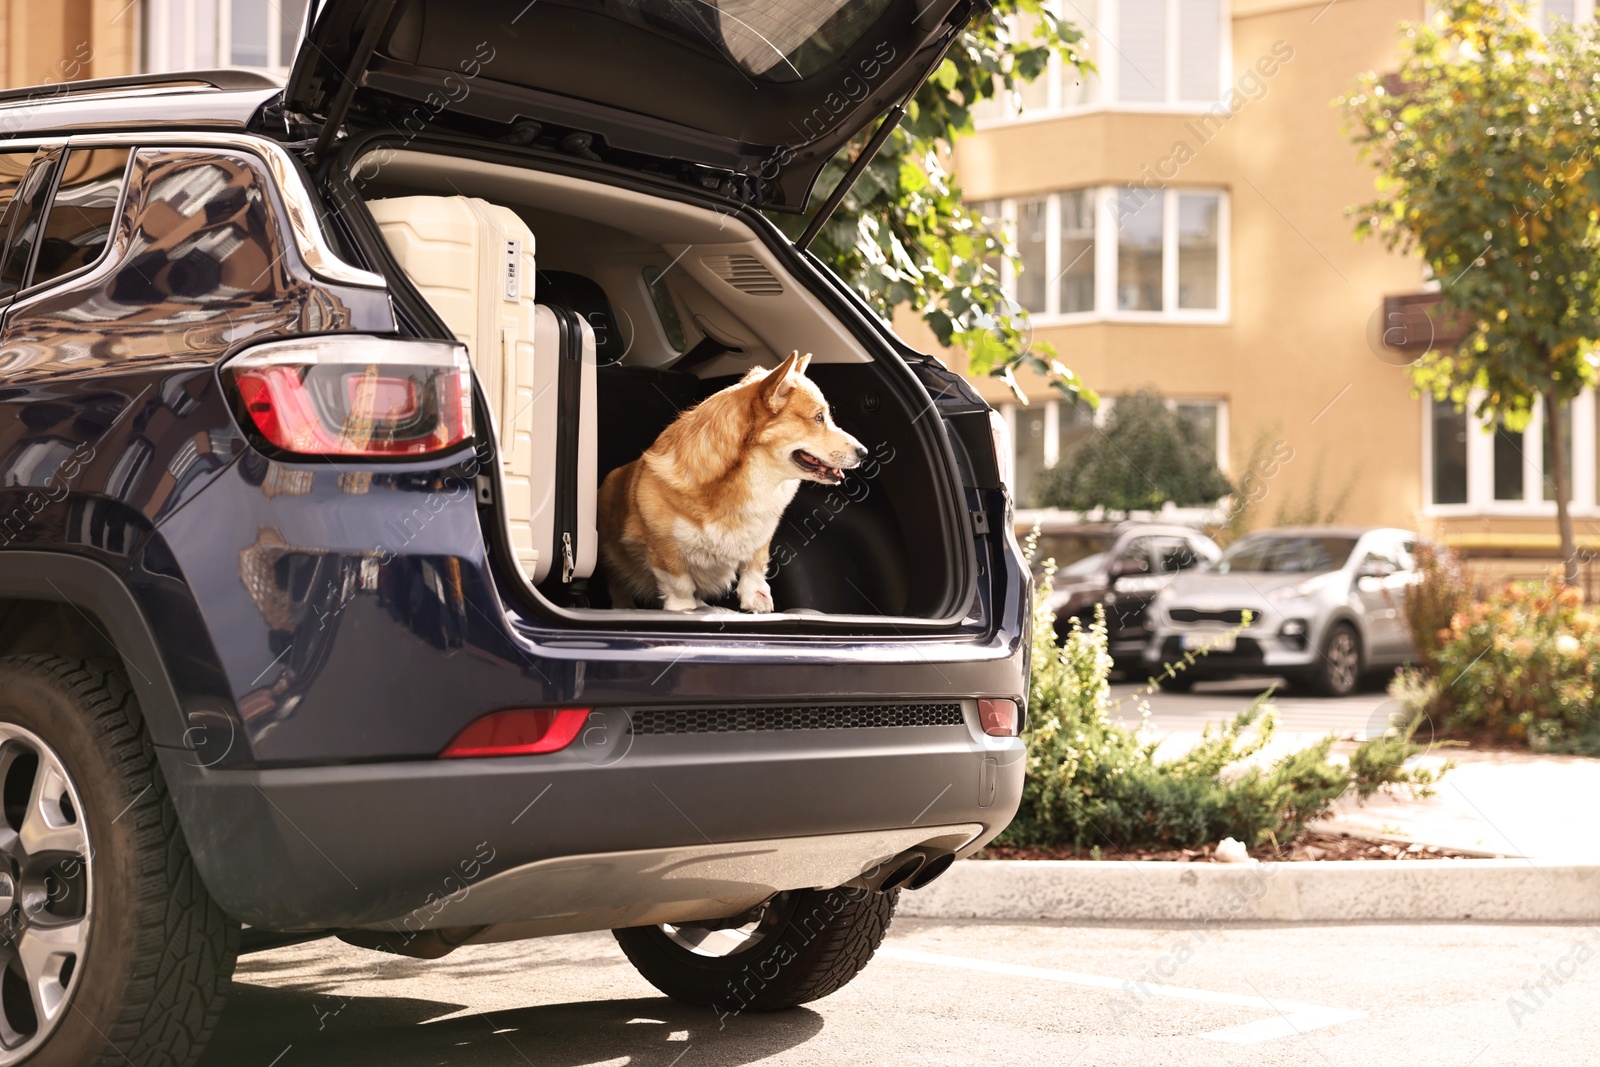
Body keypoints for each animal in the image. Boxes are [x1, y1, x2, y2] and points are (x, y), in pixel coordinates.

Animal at [598, 351, 870, 607]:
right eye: (818, 418)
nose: (864, 452)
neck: (750, 477)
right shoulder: (664, 550)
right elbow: (680, 585)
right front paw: (686, 608)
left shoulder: (763, 535)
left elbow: (755, 563)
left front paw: (756, 597)